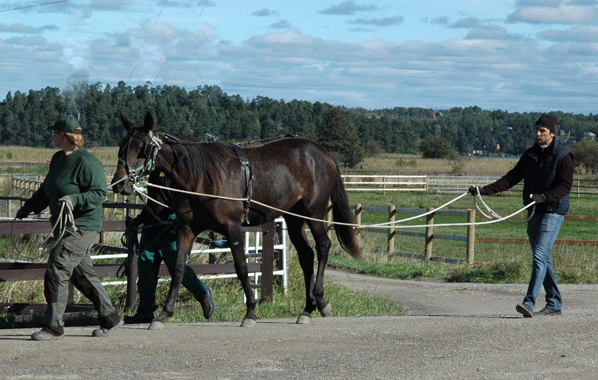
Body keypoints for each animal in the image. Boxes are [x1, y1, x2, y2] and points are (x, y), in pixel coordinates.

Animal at [113, 111, 360, 328]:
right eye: (122, 146)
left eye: (142, 149)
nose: (119, 184)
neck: (201, 177)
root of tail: (324, 153)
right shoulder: (186, 229)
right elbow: (179, 268)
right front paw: (164, 313)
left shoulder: (232, 228)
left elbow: (241, 267)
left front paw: (250, 311)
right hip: (294, 218)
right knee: (306, 255)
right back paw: (308, 309)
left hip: (314, 212)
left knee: (323, 247)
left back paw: (320, 299)